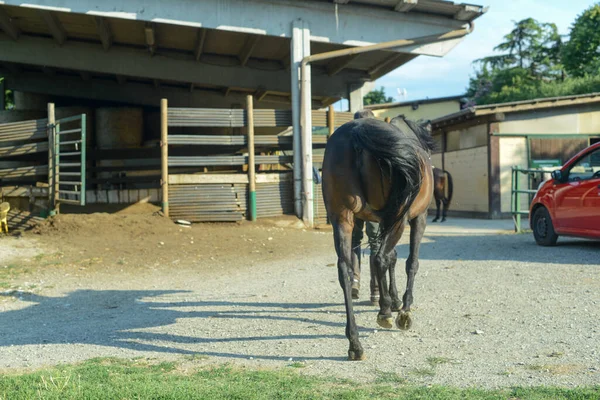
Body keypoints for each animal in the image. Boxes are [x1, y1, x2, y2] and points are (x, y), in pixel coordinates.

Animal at [322, 114, 434, 360]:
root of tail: (358, 131)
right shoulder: (416, 218)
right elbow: (410, 262)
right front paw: (402, 308)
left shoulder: (383, 220)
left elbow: (391, 258)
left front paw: (392, 301)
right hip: (399, 218)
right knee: (381, 258)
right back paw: (385, 314)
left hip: (342, 217)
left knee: (345, 269)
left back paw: (355, 342)